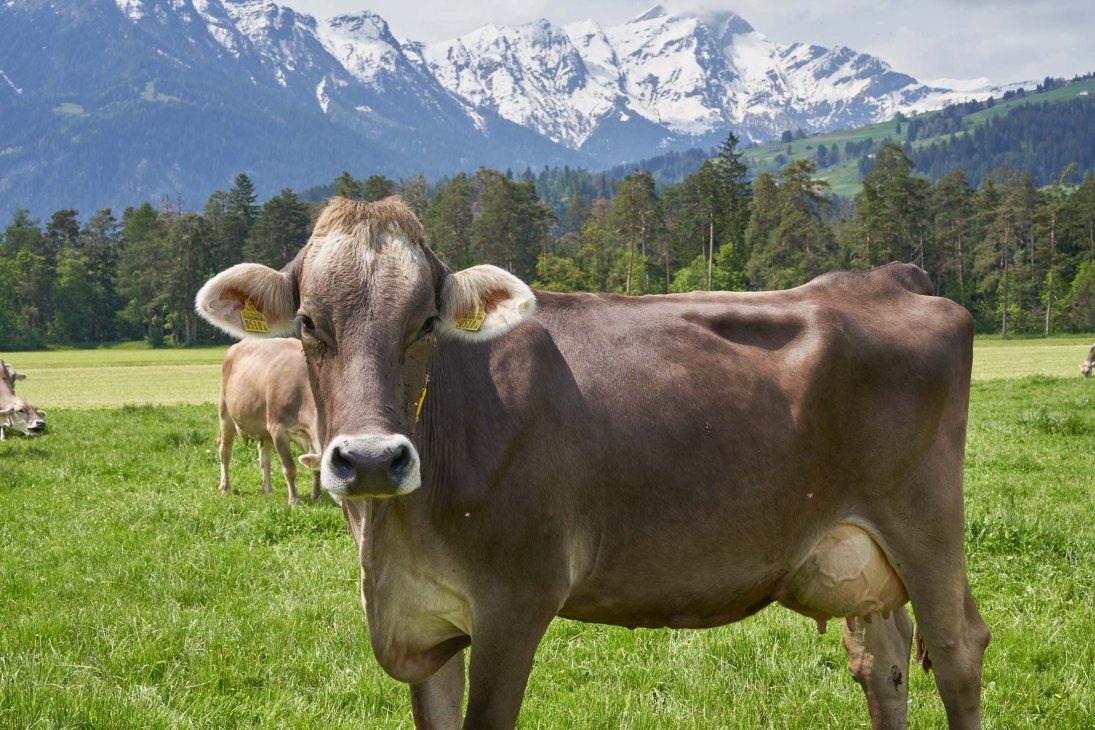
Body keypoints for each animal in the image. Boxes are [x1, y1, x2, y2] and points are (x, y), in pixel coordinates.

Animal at [216, 338, 322, 505]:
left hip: (264, 428)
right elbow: (289, 468)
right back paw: (225, 487)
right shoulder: (278, 429)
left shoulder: (305, 435)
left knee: (264, 458)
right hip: (225, 414)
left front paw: (315, 495)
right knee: (225, 452)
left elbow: (315, 469)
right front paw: (293, 500)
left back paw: (268, 489)